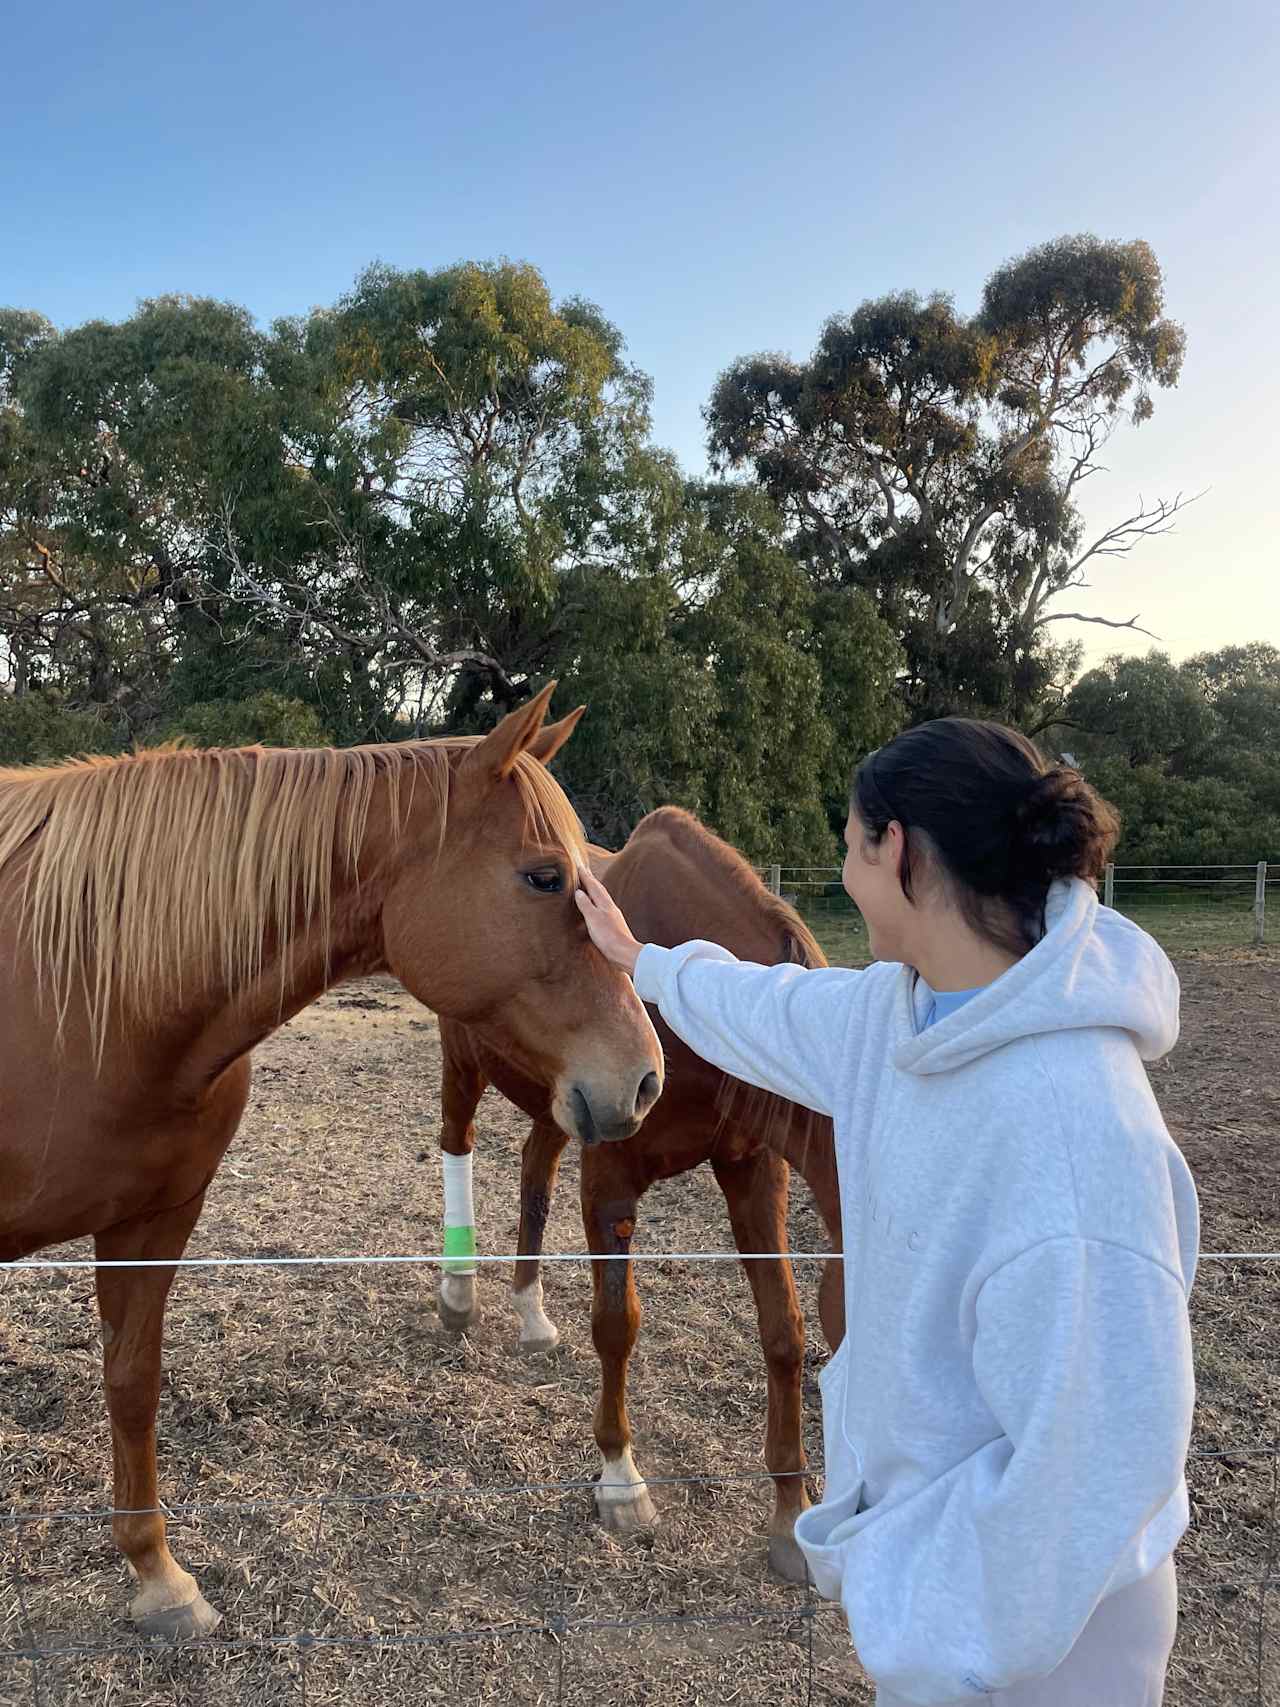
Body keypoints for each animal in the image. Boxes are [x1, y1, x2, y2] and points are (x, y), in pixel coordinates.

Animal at [0, 689, 662, 1638]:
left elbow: (132, 1383)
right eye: (543, 876)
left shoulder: (153, 1221)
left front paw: (159, 1578)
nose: (644, 1079)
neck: (92, 986)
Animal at [436, 805, 846, 1577]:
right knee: (457, 1144)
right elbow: (617, 1324)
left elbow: (783, 1329)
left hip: (561, 1106)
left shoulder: (752, 1169)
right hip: (466, 1065)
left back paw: (531, 1314)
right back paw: (458, 1293)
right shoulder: (612, 1177)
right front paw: (621, 1483)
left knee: (534, 1171)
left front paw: (789, 1513)